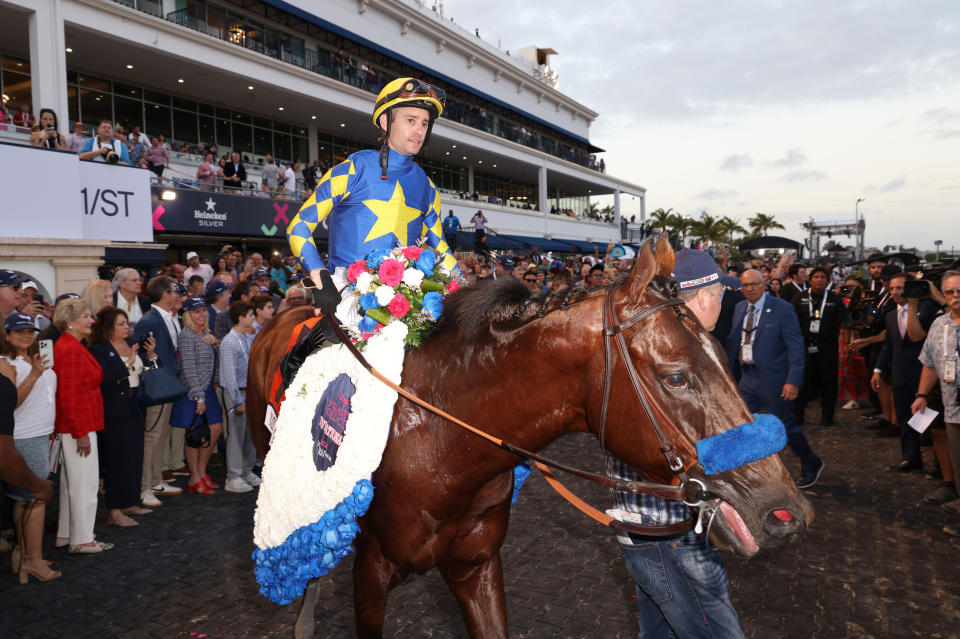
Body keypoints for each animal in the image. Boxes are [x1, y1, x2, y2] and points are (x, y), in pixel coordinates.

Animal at [246, 236, 808, 639]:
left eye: (723, 355)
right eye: (676, 378)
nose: (787, 511)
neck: (437, 440)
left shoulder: (476, 565)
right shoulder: (371, 569)